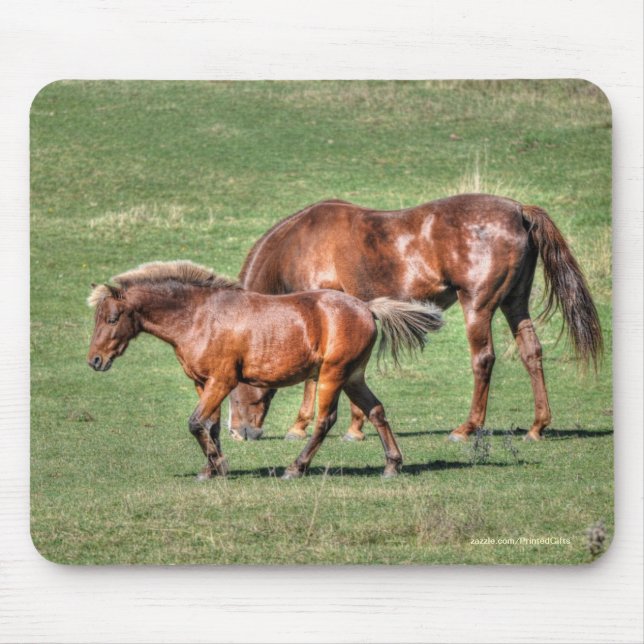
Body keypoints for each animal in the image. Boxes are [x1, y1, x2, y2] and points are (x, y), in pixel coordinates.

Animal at [86, 260, 443, 479]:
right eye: (97, 318)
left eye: (112, 318)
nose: (95, 361)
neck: (199, 317)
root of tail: (367, 308)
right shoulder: (203, 383)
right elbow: (210, 427)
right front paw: (210, 470)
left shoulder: (222, 381)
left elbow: (195, 423)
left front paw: (220, 466)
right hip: (353, 378)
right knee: (377, 411)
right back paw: (392, 465)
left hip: (332, 376)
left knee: (325, 421)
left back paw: (295, 468)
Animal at [228, 193, 602, 443]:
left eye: (233, 389)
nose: (239, 432)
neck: (298, 244)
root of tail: (518, 211)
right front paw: (355, 427)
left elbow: (313, 376)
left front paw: (300, 425)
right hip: (515, 303)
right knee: (531, 353)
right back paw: (537, 427)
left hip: (477, 305)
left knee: (483, 360)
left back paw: (466, 429)